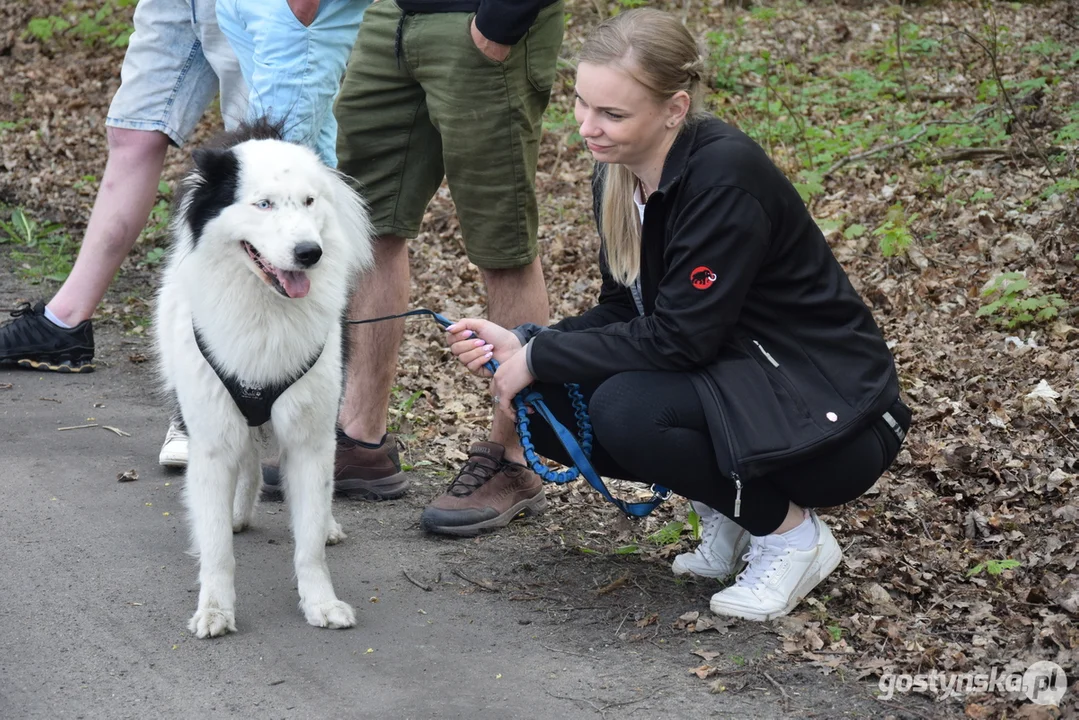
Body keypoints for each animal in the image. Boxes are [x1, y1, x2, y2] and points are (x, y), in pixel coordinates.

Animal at [152, 120, 371, 639]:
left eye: (309, 201)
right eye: (264, 204)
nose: (309, 253)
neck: (267, 310)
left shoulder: (310, 437)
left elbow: (308, 544)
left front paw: (320, 603)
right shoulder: (212, 437)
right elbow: (216, 550)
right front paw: (214, 608)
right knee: (247, 458)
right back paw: (236, 513)